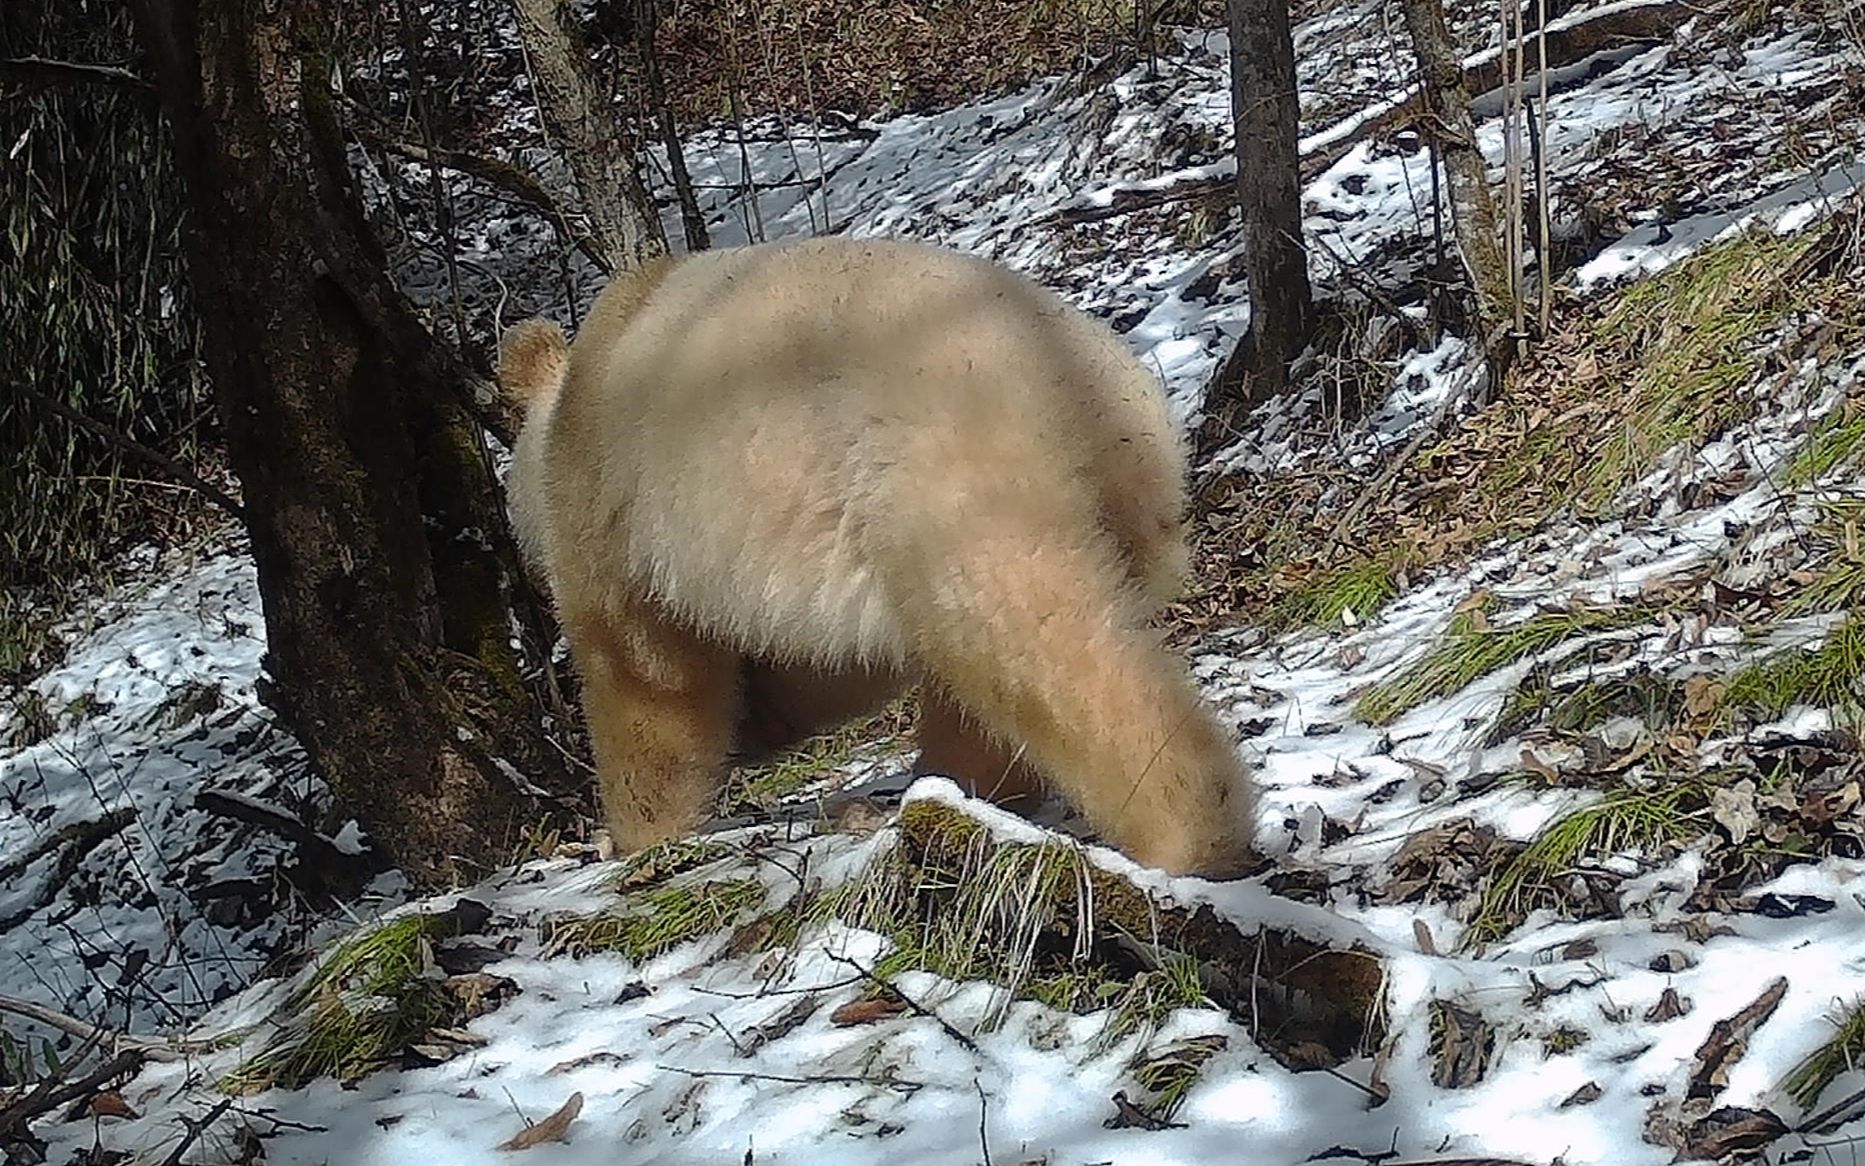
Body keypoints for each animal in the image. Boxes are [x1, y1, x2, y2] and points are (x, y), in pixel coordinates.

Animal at [498, 235, 1255, 876]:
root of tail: (1104, 392)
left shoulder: (609, 498)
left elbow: (643, 672)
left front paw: (632, 835)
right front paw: (758, 721)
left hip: (946, 461)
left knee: (1031, 634)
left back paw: (1183, 832)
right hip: (1107, 506)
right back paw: (963, 788)